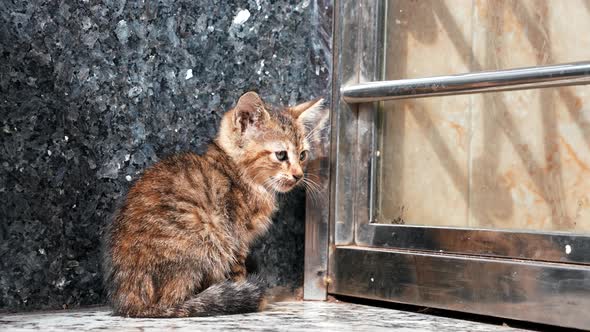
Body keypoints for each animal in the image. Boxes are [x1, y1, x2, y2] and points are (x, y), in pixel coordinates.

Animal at [102, 91, 324, 320]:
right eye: (281, 155)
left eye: (302, 155)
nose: (298, 175)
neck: (241, 174)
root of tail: (131, 305)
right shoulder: (236, 239)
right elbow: (238, 272)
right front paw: (249, 293)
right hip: (207, 236)